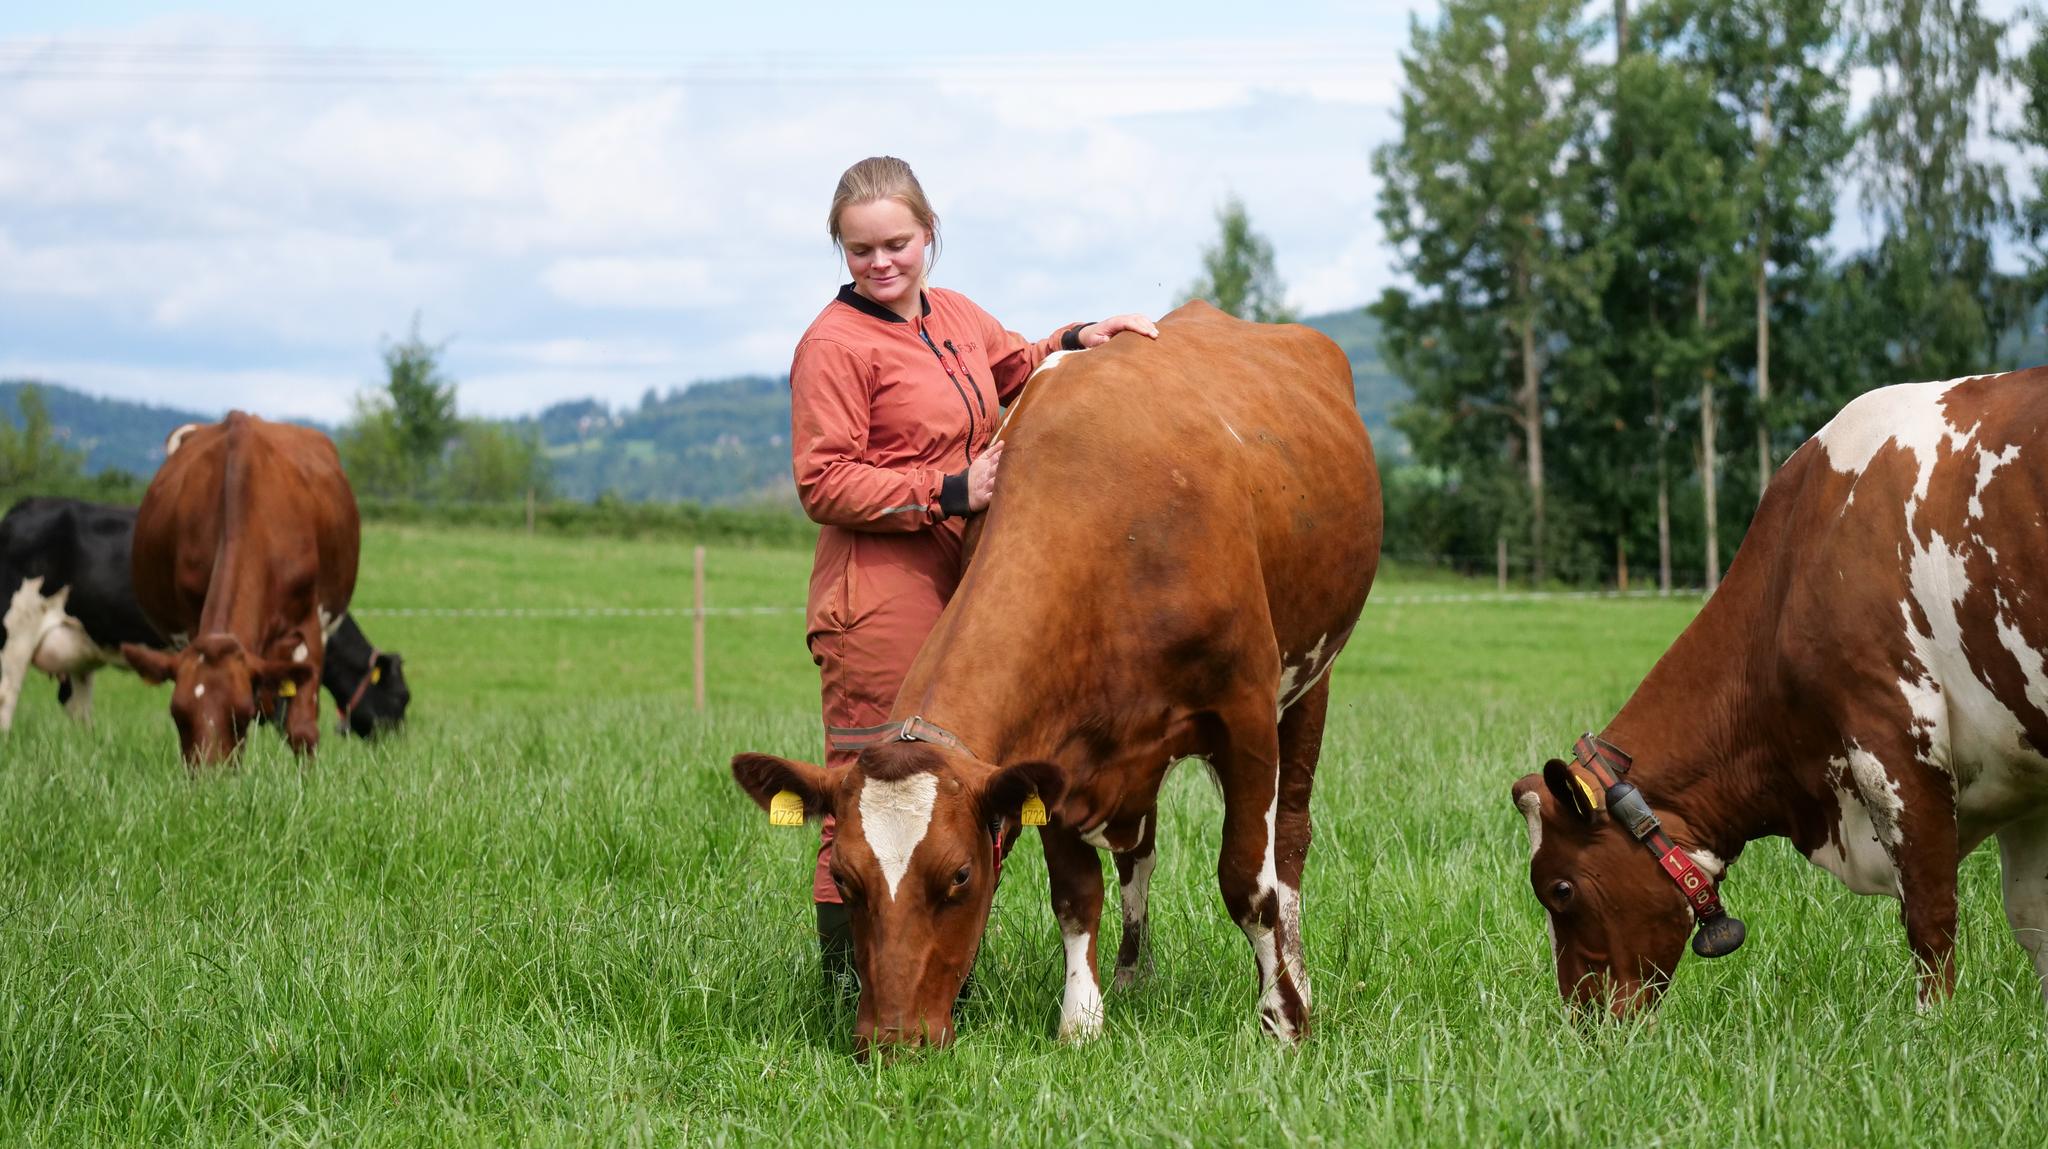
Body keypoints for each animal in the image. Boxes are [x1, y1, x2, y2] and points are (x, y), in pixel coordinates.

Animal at [118, 413, 361, 764]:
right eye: (178, 715)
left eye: (241, 715)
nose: (210, 774)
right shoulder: (191, 621)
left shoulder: (309, 625)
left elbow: (302, 729)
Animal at [731, 301, 1382, 1054]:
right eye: (842, 875)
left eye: (960, 873)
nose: (891, 1040)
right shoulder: (1055, 752)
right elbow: (1076, 893)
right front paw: (1083, 1020)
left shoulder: (1243, 713)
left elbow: (1250, 880)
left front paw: (1282, 1021)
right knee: (1139, 854)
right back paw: (1133, 977)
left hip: (1310, 680)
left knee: (1292, 840)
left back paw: (1297, 979)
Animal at [1514, 370, 2048, 1016]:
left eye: (1560, 889)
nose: (1583, 1020)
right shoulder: (2021, 771)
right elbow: (2033, 919)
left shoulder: (1895, 742)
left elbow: (1930, 916)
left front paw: (1933, 1026)